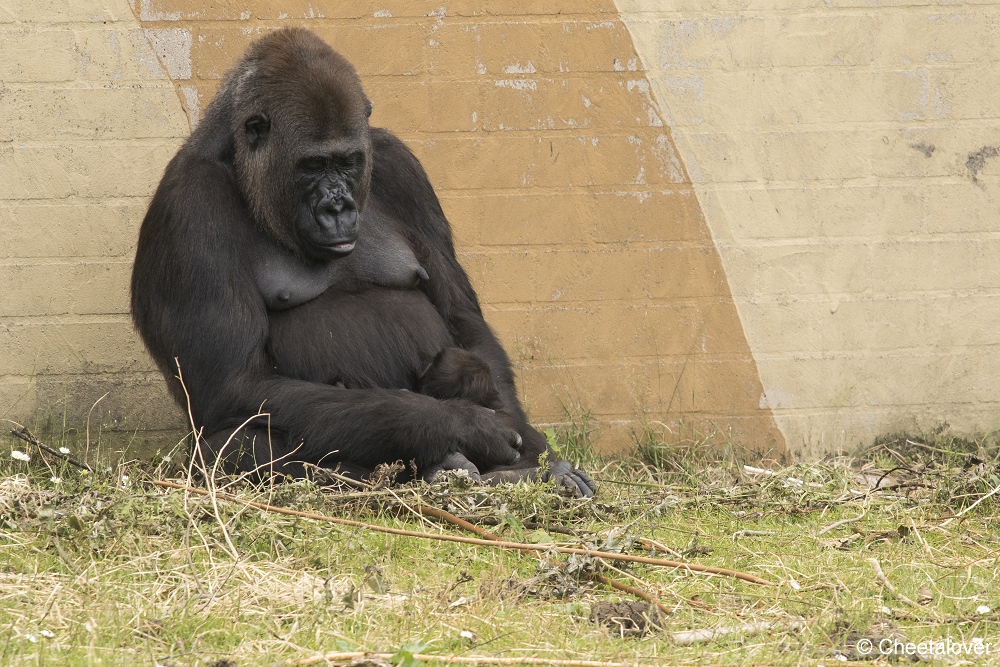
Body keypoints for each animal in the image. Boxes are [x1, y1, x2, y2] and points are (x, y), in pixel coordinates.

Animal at [133, 27, 596, 496]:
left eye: (348, 162)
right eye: (313, 165)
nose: (338, 208)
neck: (245, 169)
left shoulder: (400, 166)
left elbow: (463, 319)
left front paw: (528, 443)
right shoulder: (190, 206)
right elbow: (238, 383)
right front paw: (459, 424)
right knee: (231, 447)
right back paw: (441, 466)